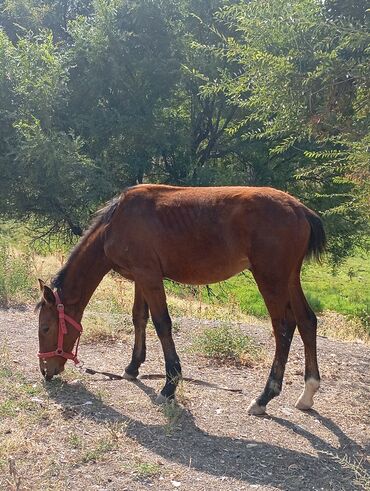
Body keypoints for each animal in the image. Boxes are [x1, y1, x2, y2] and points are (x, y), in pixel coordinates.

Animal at [36, 184, 326, 416]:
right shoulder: (141, 278)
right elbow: (139, 318)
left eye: (46, 328)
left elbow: (162, 324)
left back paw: (264, 397)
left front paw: (170, 385)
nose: (45, 371)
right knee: (306, 321)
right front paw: (133, 367)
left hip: (270, 279)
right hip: (290, 278)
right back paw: (308, 392)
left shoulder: (149, 276)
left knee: (283, 328)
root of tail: (300, 209)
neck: (116, 223)